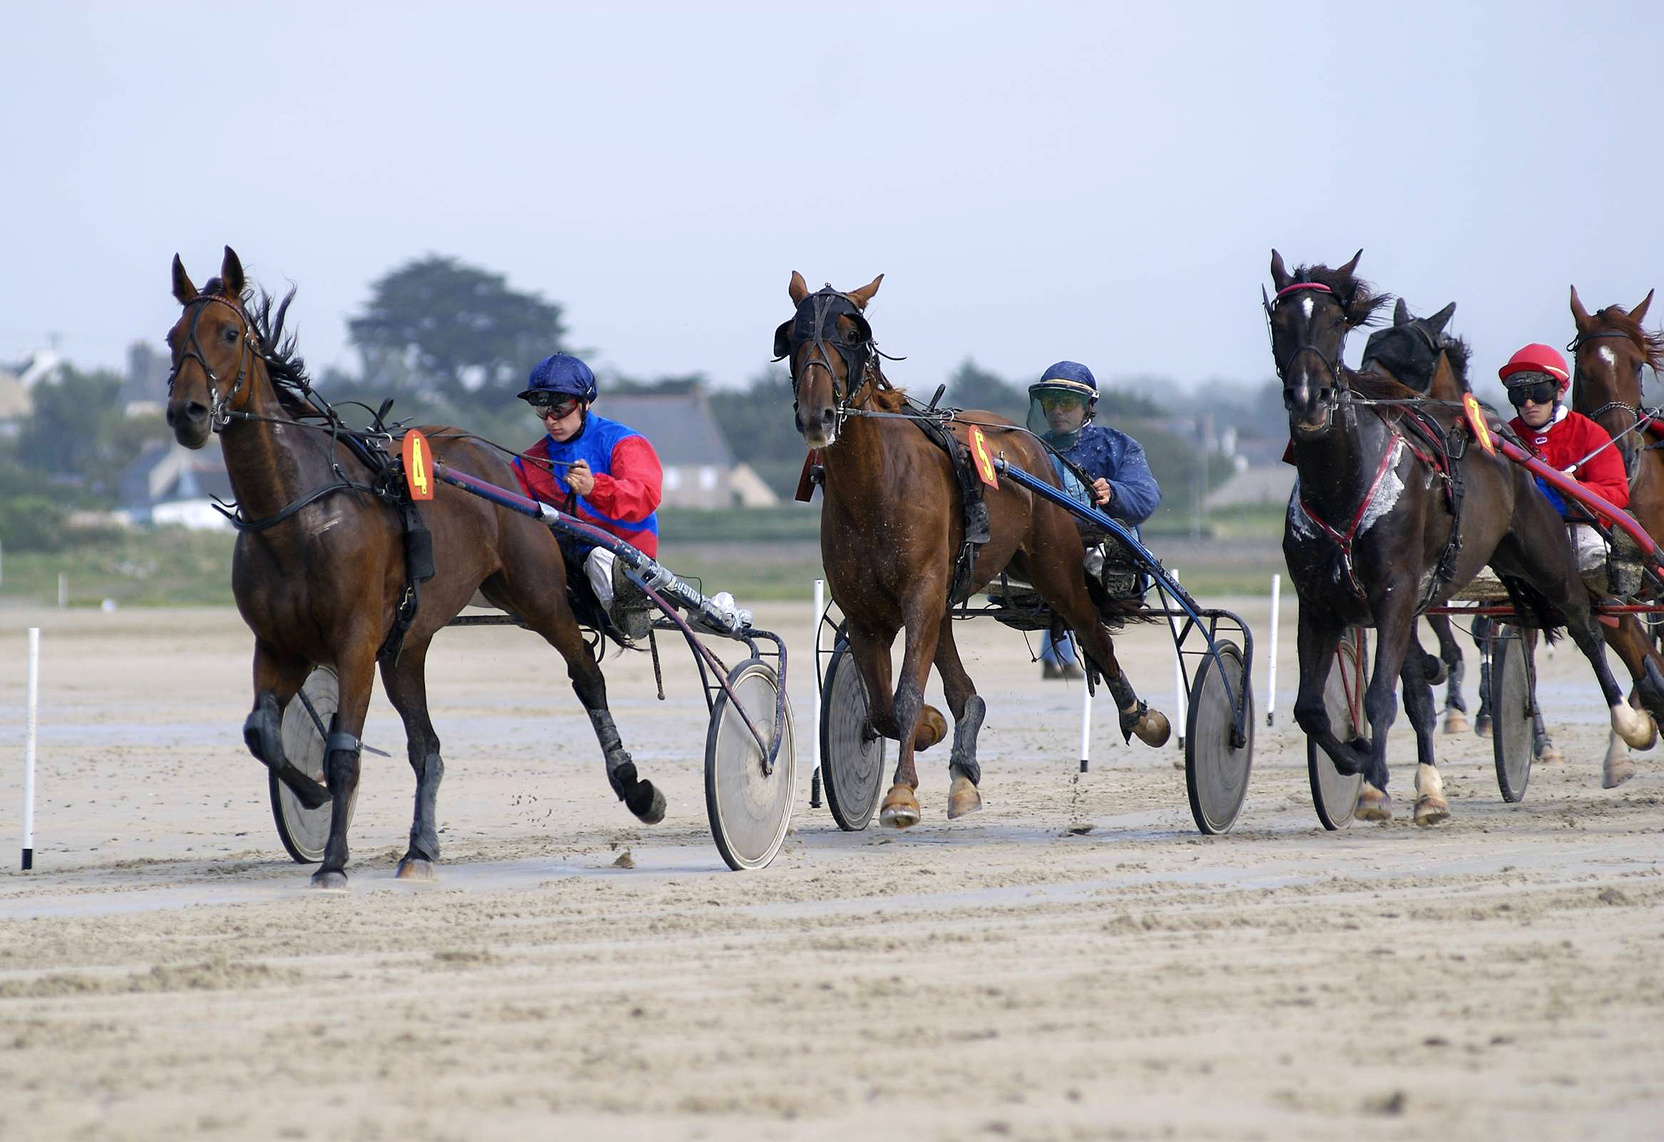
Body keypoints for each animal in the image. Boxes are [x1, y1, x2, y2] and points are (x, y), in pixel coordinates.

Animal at [163, 248, 662, 892]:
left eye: (229, 333)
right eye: (174, 337)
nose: (188, 412)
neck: (297, 515)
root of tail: (504, 468)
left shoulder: (353, 641)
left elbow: (343, 751)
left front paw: (332, 861)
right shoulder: (278, 645)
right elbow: (262, 733)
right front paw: (312, 797)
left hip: (537, 595)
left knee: (586, 676)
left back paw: (636, 787)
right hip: (406, 644)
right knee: (427, 746)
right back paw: (420, 848)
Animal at [778, 273, 1171, 829]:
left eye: (852, 334)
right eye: (791, 336)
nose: (818, 415)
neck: (876, 483)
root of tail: (1029, 445)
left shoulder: (920, 592)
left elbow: (905, 695)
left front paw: (901, 792)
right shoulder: (864, 611)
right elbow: (881, 709)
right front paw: (930, 729)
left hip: (1053, 564)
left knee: (1094, 632)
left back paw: (1142, 716)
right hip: (948, 594)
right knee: (965, 691)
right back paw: (963, 769)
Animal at [1271, 253, 1650, 822]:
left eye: (1337, 323)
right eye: (1280, 320)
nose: (1308, 399)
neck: (1343, 481)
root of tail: (1507, 440)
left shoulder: (1395, 592)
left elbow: (1382, 695)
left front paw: (1375, 786)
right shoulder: (1319, 601)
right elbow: (1312, 708)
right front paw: (1358, 755)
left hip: (1543, 552)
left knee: (1585, 622)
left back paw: (1630, 724)